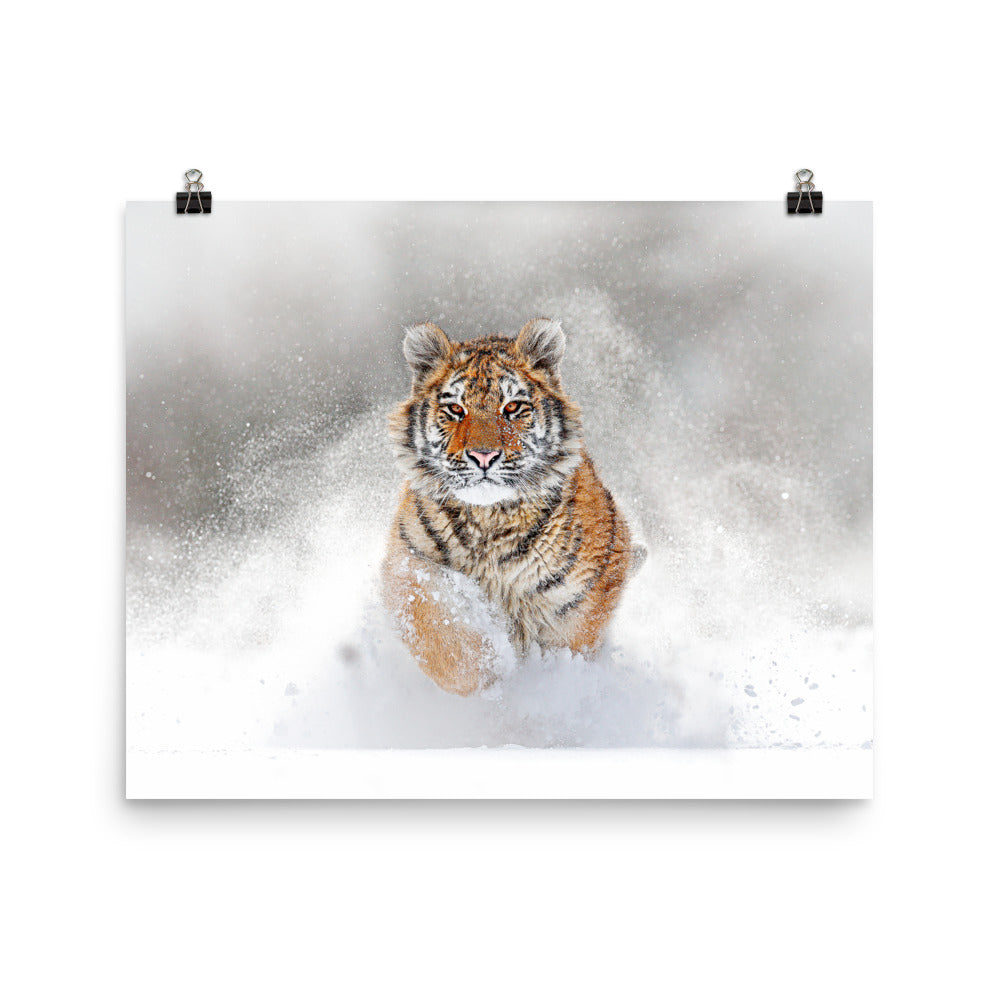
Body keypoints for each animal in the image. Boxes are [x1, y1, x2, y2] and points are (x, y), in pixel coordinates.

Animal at [381, 318, 645, 695]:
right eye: (456, 409)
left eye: (511, 408)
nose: (483, 456)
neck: (489, 520)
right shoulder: (408, 563)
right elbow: (438, 629)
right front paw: (489, 667)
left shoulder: (581, 601)